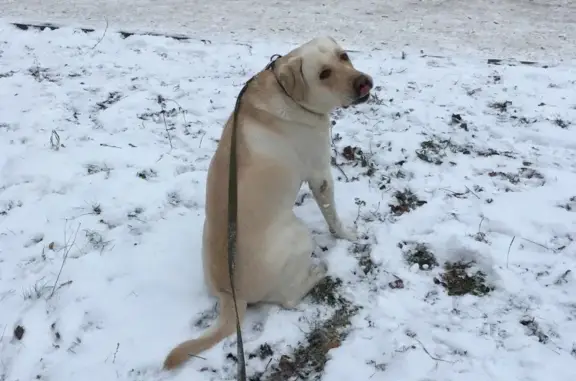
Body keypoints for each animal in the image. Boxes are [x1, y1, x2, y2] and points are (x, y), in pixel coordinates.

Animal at [162, 35, 374, 368]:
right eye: (323, 74)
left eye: (344, 57)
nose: (365, 83)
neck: (288, 94)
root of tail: (230, 295)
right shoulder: (320, 174)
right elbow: (333, 217)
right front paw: (348, 235)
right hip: (298, 234)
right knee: (289, 299)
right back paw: (318, 272)